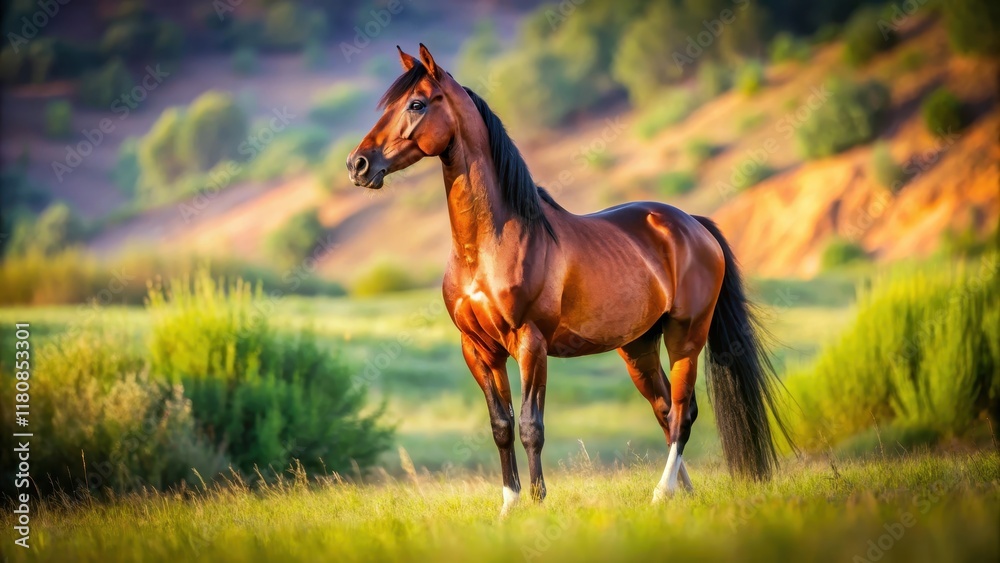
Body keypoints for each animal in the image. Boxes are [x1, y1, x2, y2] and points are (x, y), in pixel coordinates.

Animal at [347, 44, 791, 515]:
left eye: (417, 104)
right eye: (388, 105)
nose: (358, 165)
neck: (491, 242)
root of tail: (693, 224)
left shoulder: (531, 343)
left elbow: (530, 425)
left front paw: (538, 501)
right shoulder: (478, 349)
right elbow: (501, 425)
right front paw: (509, 507)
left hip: (686, 335)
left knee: (682, 413)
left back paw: (661, 493)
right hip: (638, 347)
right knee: (663, 410)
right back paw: (680, 494)